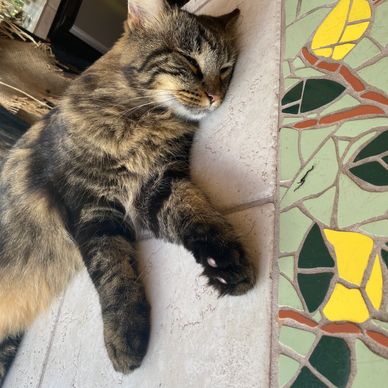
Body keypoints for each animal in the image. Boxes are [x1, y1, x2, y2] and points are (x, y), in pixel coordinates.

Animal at [0, 0, 255, 382]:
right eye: (190, 61)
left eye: (225, 69)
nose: (215, 97)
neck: (142, 120)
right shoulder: (90, 208)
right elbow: (113, 272)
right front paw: (124, 335)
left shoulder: (157, 185)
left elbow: (198, 215)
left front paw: (225, 261)